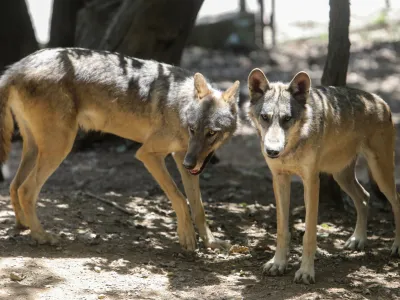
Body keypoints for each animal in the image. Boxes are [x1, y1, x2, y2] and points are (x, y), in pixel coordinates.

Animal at [0, 47, 239, 251]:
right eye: (193, 129)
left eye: (211, 133)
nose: (190, 163)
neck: (180, 107)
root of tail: (16, 67)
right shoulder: (148, 154)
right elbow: (180, 197)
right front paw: (187, 236)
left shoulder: (182, 157)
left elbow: (199, 207)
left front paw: (211, 242)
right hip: (60, 147)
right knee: (26, 190)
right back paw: (41, 236)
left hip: (35, 148)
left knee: (14, 185)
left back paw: (23, 226)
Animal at [247, 67, 400, 284]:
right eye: (265, 117)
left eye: (287, 119)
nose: (272, 151)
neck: (292, 146)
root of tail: (379, 99)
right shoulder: (279, 179)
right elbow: (281, 230)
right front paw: (278, 264)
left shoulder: (311, 181)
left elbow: (309, 233)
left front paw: (305, 272)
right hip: (341, 176)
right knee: (364, 197)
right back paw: (358, 240)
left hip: (381, 173)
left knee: (396, 201)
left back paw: (396, 246)